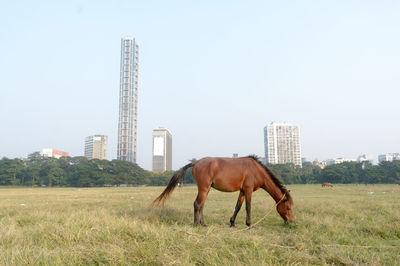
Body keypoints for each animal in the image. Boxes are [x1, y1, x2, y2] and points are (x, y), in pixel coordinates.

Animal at [152, 156, 294, 227]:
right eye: (287, 207)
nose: (291, 222)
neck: (255, 170)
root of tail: (196, 162)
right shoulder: (248, 190)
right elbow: (248, 207)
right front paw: (249, 224)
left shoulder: (242, 191)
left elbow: (238, 206)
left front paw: (232, 223)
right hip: (204, 188)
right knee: (197, 204)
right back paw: (196, 224)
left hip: (207, 189)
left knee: (201, 205)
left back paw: (203, 224)